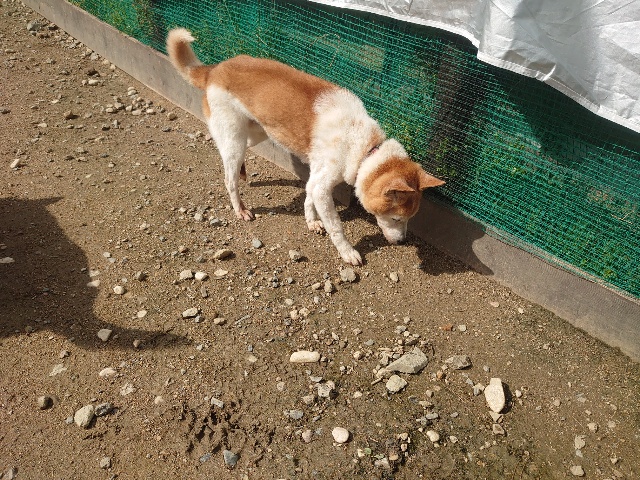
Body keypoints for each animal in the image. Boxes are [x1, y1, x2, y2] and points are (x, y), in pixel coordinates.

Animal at [166, 28, 444, 265]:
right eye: (397, 218)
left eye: (410, 219)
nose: (404, 241)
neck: (366, 147)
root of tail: (214, 69)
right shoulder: (324, 186)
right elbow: (336, 226)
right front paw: (348, 252)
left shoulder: (316, 177)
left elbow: (309, 198)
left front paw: (311, 222)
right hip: (235, 139)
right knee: (228, 177)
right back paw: (241, 208)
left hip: (257, 132)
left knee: (237, 154)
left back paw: (244, 172)